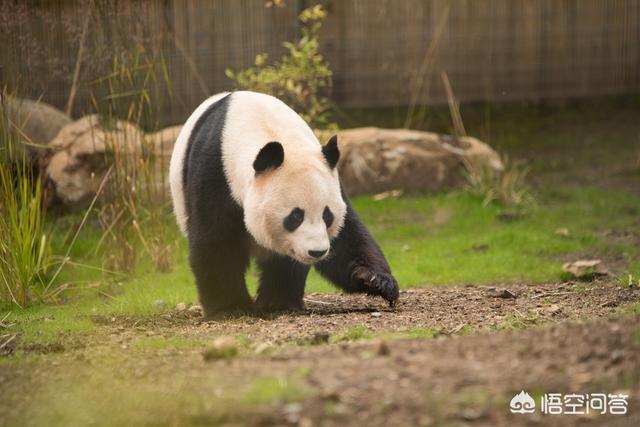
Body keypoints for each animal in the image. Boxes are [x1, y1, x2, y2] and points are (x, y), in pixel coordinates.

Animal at [170, 92, 400, 320]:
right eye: (295, 216)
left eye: (327, 215)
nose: (317, 251)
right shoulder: (216, 173)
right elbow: (216, 241)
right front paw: (231, 308)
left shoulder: (330, 179)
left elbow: (347, 236)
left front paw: (377, 280)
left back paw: (278, 302)